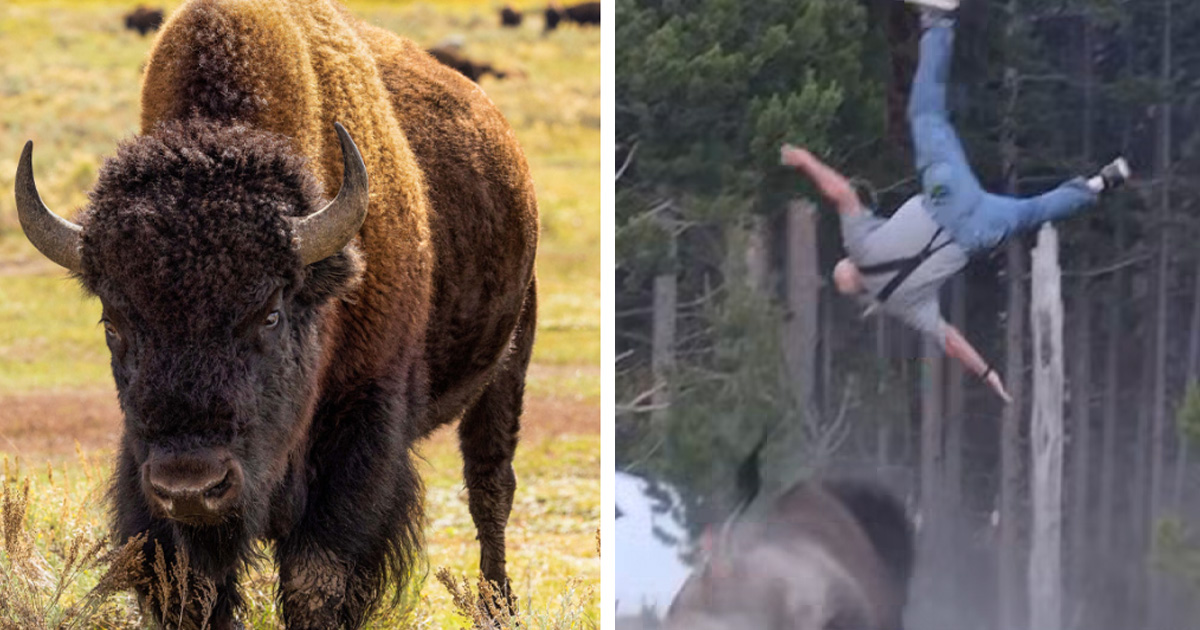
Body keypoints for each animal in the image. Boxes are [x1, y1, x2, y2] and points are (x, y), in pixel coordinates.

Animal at [16, 0, 538, 628]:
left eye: (269, 314)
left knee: (490, 485)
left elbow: (316, 578)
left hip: (509, 361)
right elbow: (192, 586)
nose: (191, 487)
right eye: (113, 323)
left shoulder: (361, 430)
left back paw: (497, 605)